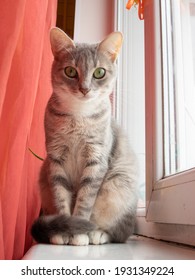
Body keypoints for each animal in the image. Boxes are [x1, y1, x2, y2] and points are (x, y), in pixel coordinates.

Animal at [31, 26, 138, 245]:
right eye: (70, 71)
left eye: (99, 72)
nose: (85, 89)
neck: (78, 117)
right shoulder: (56, 160)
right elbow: (61, 198)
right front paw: (64, 231)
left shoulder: (96, 160)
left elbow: (85, 201)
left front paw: (79, 234)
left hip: (117, 186)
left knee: (120, 233)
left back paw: (98, 234)